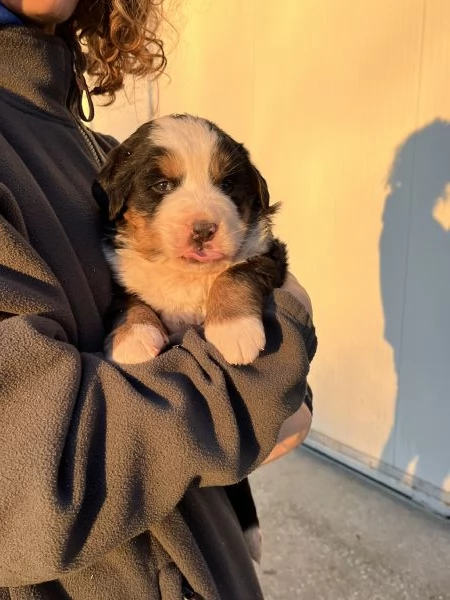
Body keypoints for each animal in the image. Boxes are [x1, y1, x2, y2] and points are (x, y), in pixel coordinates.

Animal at [94, 113, 288, 568]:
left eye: (227, 184)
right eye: (163, 186)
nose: (203, 229)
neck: (184, 274)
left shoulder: (269, 254)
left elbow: (235, 273)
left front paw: (234, 330)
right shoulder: (118, 271)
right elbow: (131, 299)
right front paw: (134, 339)